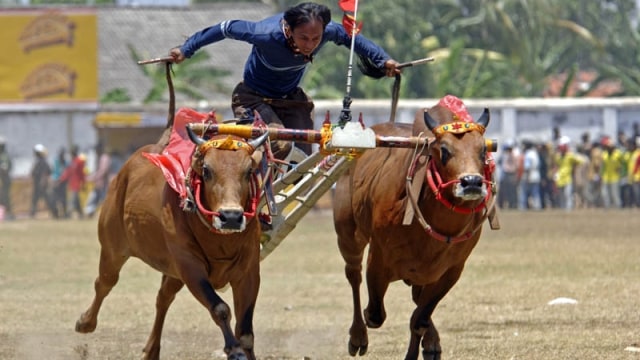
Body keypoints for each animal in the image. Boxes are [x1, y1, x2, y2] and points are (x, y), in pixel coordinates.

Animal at [75, 113, 270, 360]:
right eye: (207, 170)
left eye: (248, 172)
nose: (231, 217)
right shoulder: (190, 267)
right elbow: (220, 309)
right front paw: (233, 349)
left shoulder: (248, 272)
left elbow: (245, 332)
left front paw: (240, 347)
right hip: (113, 249)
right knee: (104, 282)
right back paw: (85, 322)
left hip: (172, 271)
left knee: (163, 298)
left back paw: (151, 350)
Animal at [332, 96, 498, 360]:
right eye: (444, 150)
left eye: (483, 150)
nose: (471, 182)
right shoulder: (378, 260)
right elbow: (375, 314)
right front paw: (367, 321)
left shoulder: (451, 271)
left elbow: (419, 319)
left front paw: (424, 342)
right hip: (348, 235)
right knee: (353, 275)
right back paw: (358, 335)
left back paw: (431, 342)